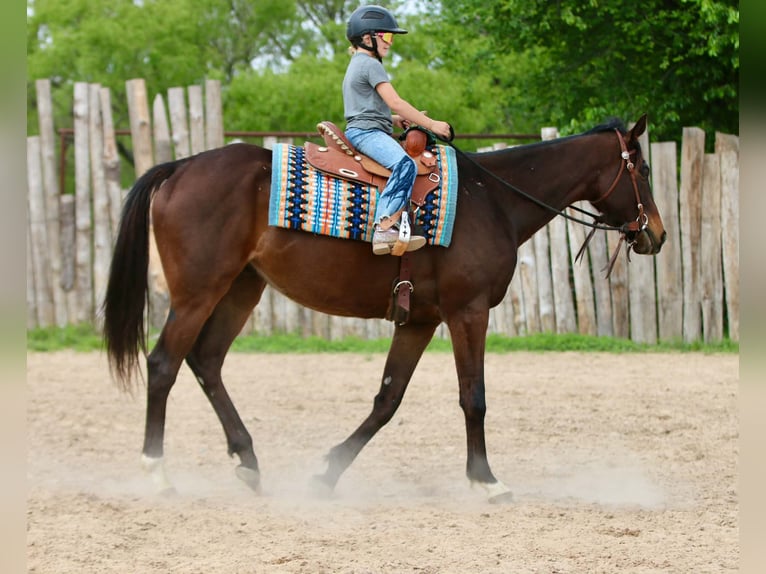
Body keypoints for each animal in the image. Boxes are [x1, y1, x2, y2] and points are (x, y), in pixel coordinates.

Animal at [103, 114, 665, 503]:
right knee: (164, 364)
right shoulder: (468, 312)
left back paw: (248, 460)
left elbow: (387, 400)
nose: (656, 234)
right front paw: (486, 481)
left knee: (207, 361)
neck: (492, 200)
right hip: (197, 295)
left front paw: (327, 472)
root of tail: (179, 168)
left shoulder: (419, 321)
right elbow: (474, 397)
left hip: (242, 289)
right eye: (642, 168)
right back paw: (158, 473)